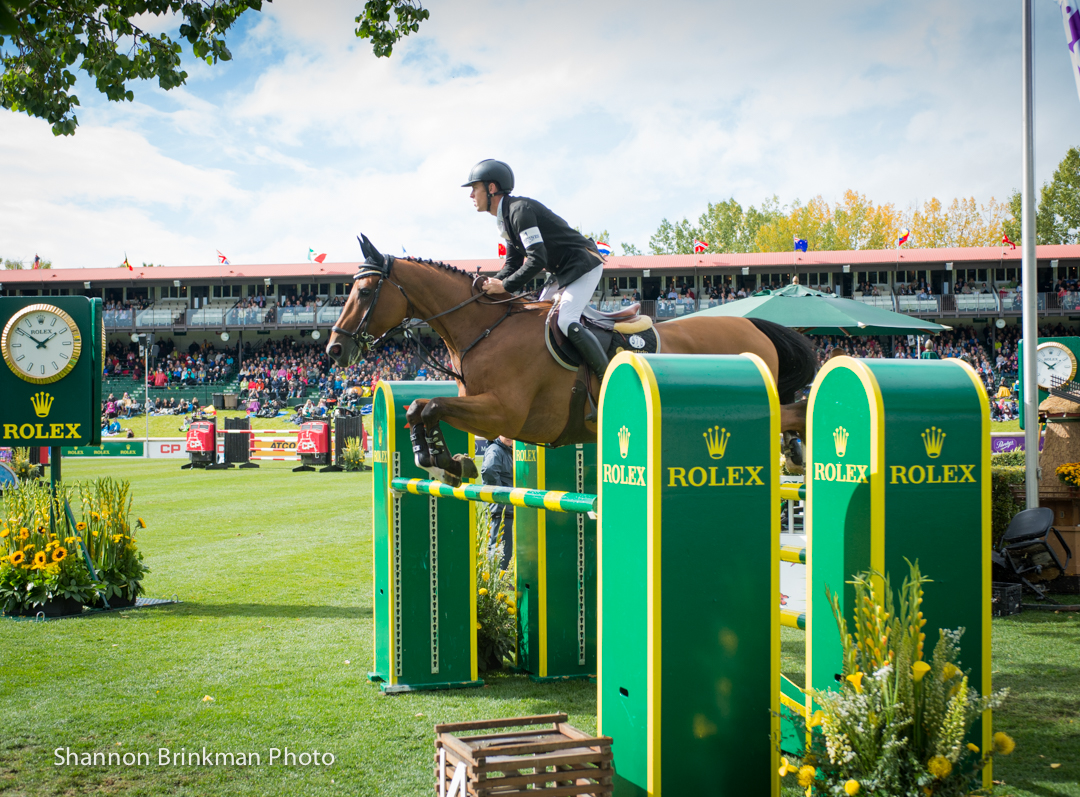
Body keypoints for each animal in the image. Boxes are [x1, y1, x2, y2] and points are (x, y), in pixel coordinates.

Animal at [324, 234, 812, 483]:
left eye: (363, 291)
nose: (334, 349)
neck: (485, 329)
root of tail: (754, 325)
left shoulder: (503, 413)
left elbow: (431, 406)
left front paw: (441, 460)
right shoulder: (487, 412)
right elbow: (419, 407)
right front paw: (445, 461)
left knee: (796, 409)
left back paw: (798, 452)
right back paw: (795, 452)